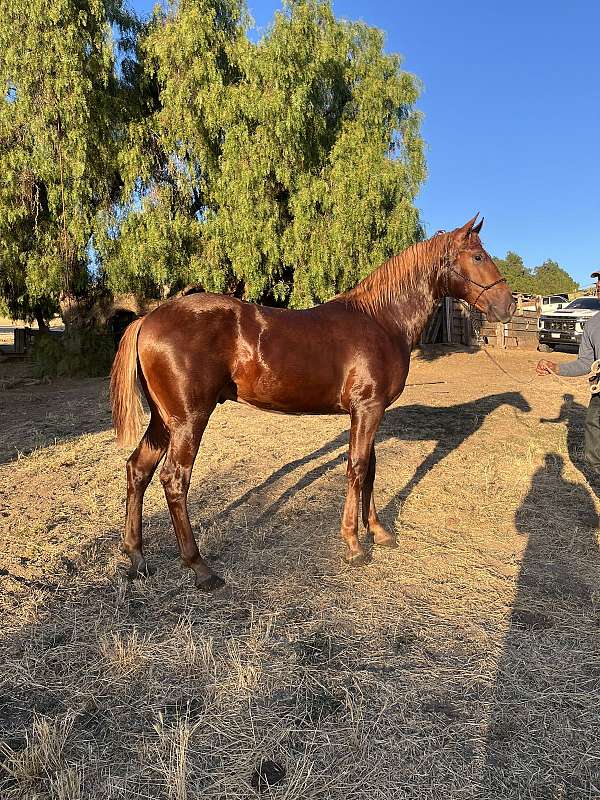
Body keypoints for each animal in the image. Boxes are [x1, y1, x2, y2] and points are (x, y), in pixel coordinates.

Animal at [110, 216, 512, 592]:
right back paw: (200, 568)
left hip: (164, 420)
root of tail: (148, 319)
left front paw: (379, 532)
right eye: (478, 256)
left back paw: (137, 558)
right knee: (174, 480)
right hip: (189, 419)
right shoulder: (367, 409)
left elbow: (369, 470)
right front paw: (354, 545)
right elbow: (356, 470)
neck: (382, 320)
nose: (507, 304)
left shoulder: (370, 412)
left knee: (138, 469)